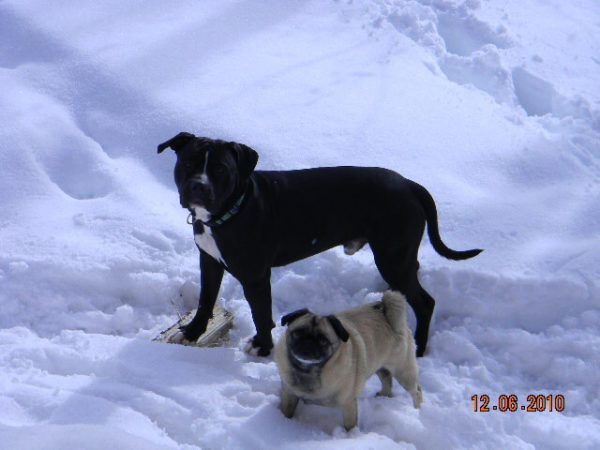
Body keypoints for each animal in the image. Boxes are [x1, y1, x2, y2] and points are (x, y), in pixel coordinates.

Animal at [158, 132, 482, 356]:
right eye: (188, 163)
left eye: (221, 169)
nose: (198, 186)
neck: (232, 208)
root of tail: (410, 184)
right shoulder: (209, 260)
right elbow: (205, 300)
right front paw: (192, 333)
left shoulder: (256, 276)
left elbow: (261, 314)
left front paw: (263, 348)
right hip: (396, 258)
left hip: (394, 258)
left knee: (425, 302)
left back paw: (418, 348)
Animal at [274, 290, 423, 431]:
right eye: (297, 334)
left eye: (323, 341)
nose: (308, 343)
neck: (307, 371)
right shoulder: (289, 395)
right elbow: (286, 411)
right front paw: (283, 421)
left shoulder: (348, 404)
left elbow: (349, 425)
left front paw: (350, 436)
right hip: (379, 366)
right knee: (387, 379)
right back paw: (383, 396)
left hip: (404, 372)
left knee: (416, 391)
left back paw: (417, 411)